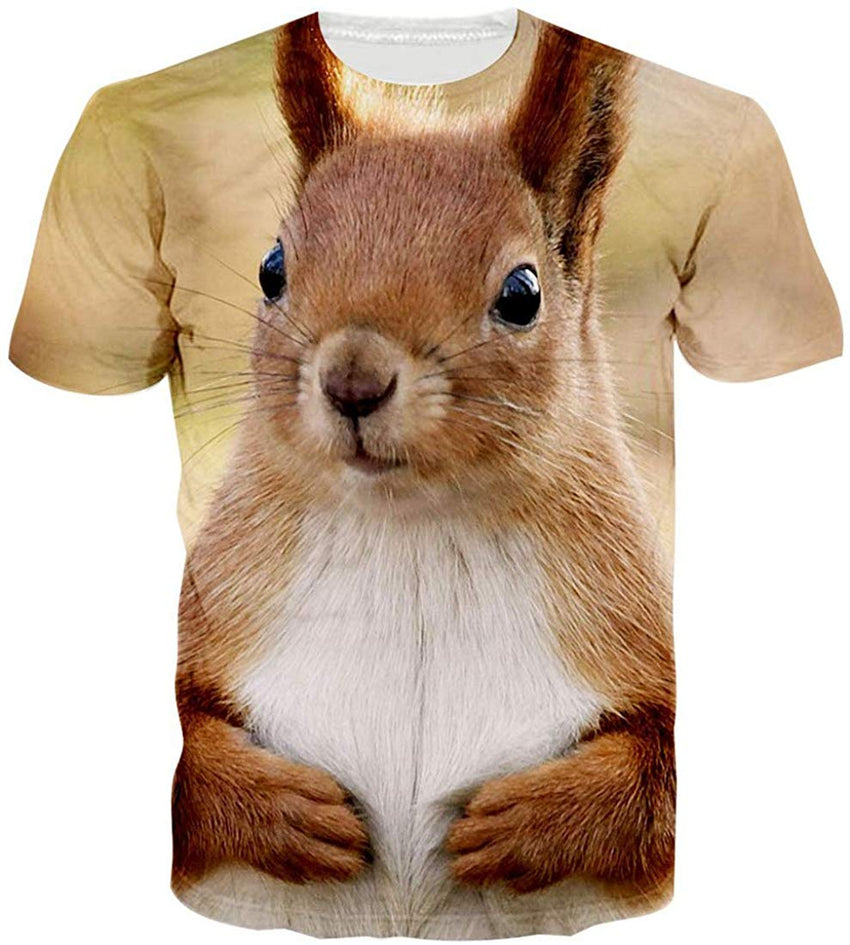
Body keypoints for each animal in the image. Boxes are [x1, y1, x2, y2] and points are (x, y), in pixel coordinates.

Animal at [171, 14, 675, 930]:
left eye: (522, 293)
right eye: (272, 268)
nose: (354, 381)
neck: (412, 533)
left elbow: (658, 775)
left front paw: (528, 822)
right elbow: (189, 744)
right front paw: (287, 811)